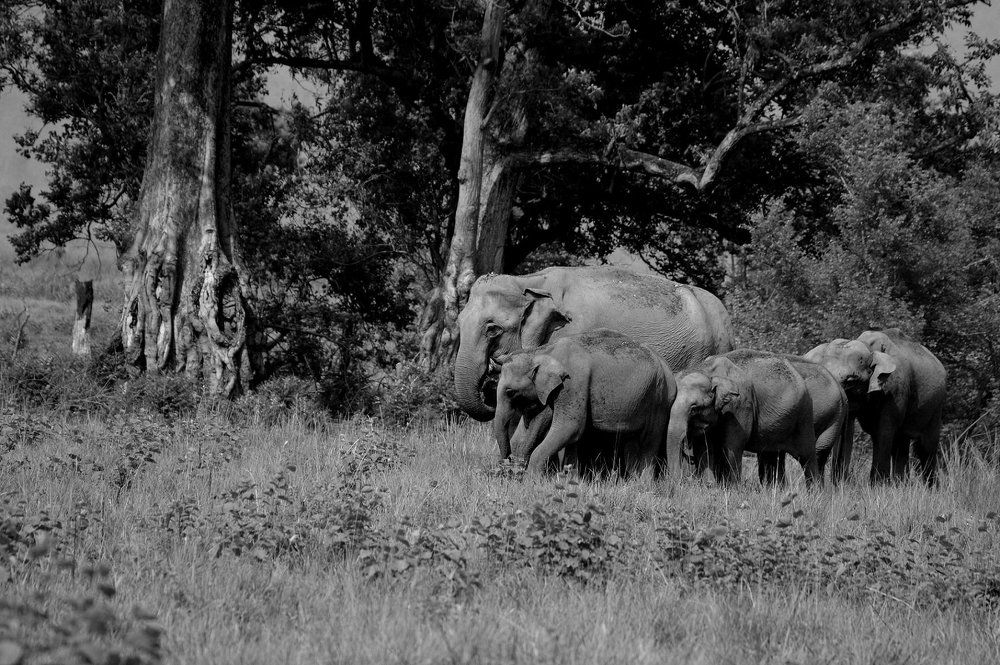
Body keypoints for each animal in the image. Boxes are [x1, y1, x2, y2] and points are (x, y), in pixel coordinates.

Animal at [493, 329, 677, 478]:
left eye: (510, 392)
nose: (508, 462)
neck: (544, 351)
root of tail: (669, 370)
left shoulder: (573, 383)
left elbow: (571, 427)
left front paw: (532, 480)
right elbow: (567, 435)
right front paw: (570, 482)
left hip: (659, 400)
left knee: (649, 443)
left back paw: (644, 486)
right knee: (631, 442)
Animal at [666, 350, 824, 485]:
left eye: (693, 409)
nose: (681, 481)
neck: (706, 370)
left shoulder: (740, 405)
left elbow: (732, 445)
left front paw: (732, 488)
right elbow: (703, 447)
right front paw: (710, 485)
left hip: (803, 414)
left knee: (807, 456)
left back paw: (815, 492)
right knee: (771, 455)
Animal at [804, 329, 947, 484]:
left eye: (850, 381)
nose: (837, 483)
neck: (869, 348)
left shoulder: (895, 391)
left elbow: (884, 431)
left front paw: (878, 485)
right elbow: (849, 429)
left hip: (936, 406)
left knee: (926, 447)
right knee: (900, 443)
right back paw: (901, 484)